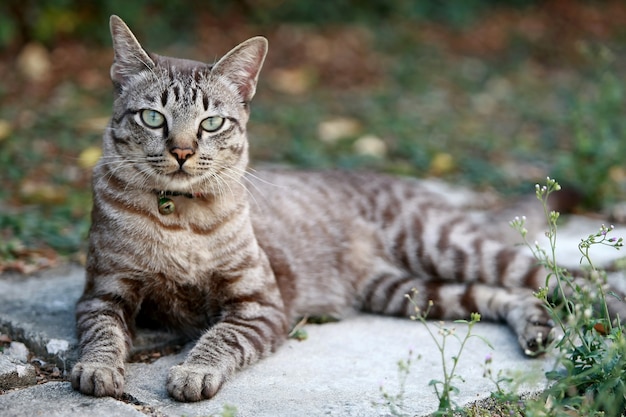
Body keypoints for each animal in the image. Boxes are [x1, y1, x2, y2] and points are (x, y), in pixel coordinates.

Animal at [72, 14, 620, 402]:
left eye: (211, 123)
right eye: (153, 117)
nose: (183, 151)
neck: (178, 218)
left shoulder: (258, 304)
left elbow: (219, 339)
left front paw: (192, 370)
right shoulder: (102, 293)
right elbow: (101, 334)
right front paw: (97, 368)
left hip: (443, 245)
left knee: (569, 279)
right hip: (410, 291)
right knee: (503, 295)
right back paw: (536, 329)